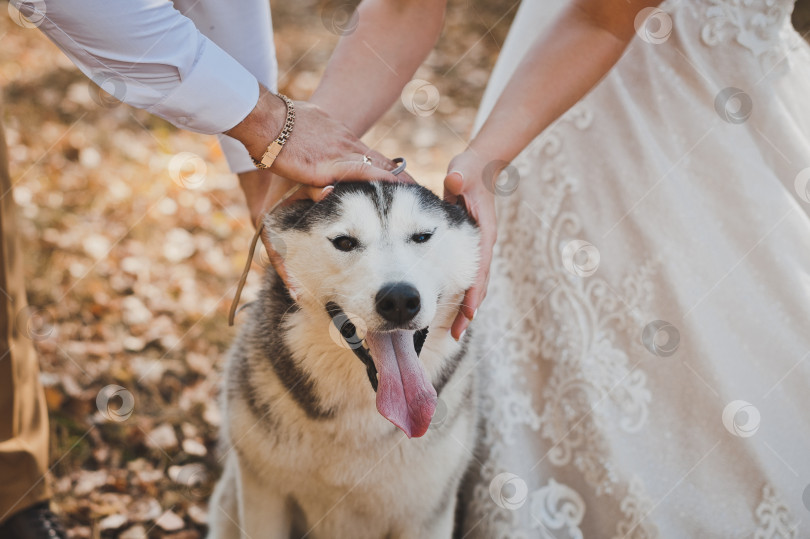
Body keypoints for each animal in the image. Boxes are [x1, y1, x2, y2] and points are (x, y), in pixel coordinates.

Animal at [208, 182, 480, 539]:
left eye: (422, 236)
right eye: (345, 242)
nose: (399, 299)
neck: (363, 417)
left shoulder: (426, 514)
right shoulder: (263, 494)